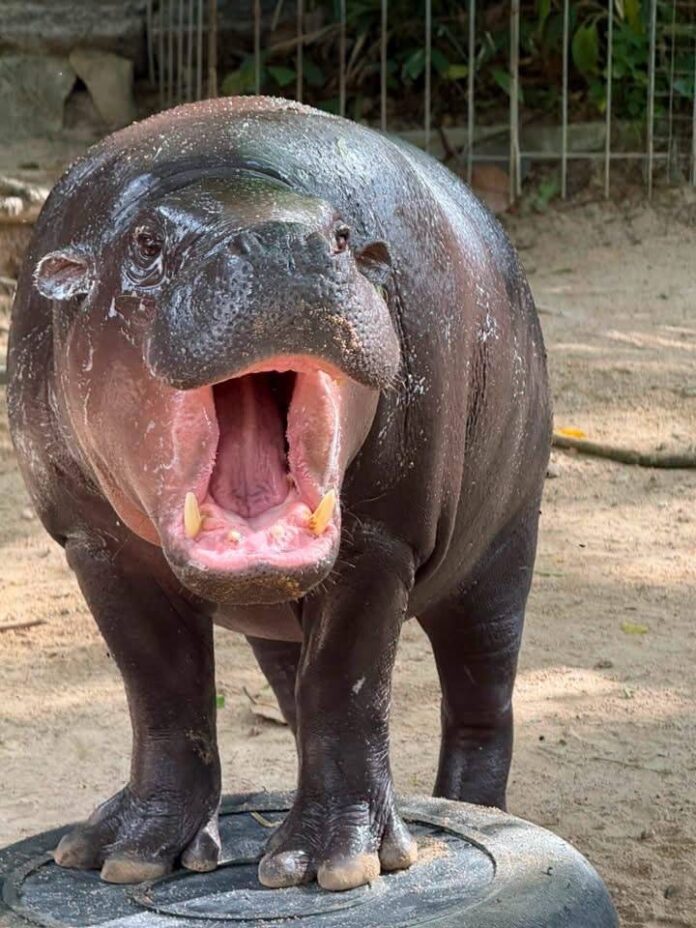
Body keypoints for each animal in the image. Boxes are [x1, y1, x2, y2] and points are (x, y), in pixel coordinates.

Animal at [7, 96, 551, 892]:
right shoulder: (93, 544)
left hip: (501, 551)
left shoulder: (380, 540)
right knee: (295, 694)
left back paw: (473, 811)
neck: (226, 173)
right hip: (278, 618)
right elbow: (162, 688)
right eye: (145, 243)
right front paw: (123, 853)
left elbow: (346, 682)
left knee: (482, 695)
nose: (280, 247)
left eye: (344, 234)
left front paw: (334, 862)